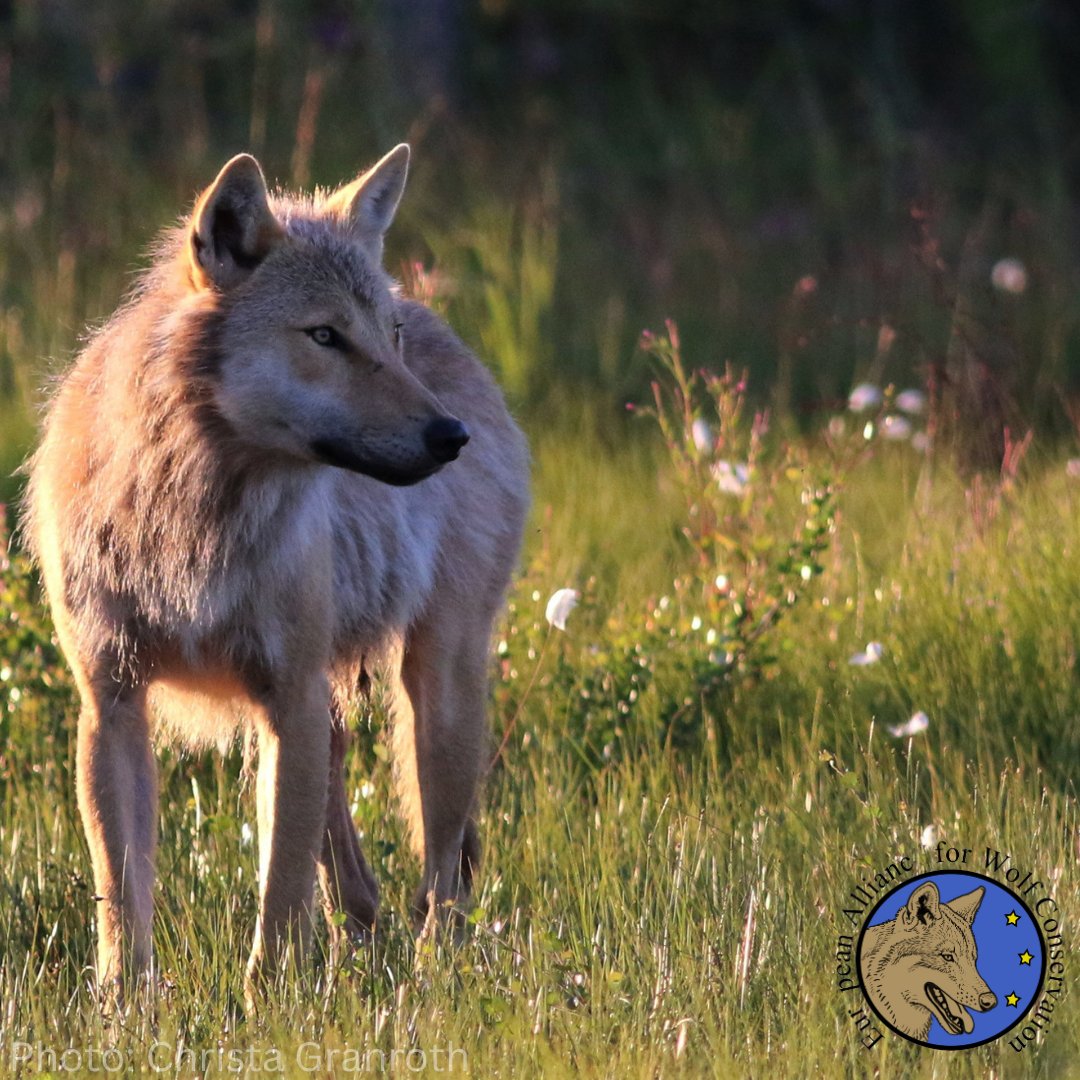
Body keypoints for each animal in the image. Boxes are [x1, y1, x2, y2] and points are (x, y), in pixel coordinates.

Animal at [22, 144, 529, 998]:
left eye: (387, 336)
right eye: (325, 335)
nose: (449, 435)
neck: (187, 515)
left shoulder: (285, 696)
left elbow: (281, 891)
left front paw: (272, 1002)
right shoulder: (112, 702)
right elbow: (122, 894)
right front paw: (124, 1007)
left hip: (432, 694)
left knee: (442, 874)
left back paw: (432, 974)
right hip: (320, 713)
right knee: (363, 874)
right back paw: (363, 943)